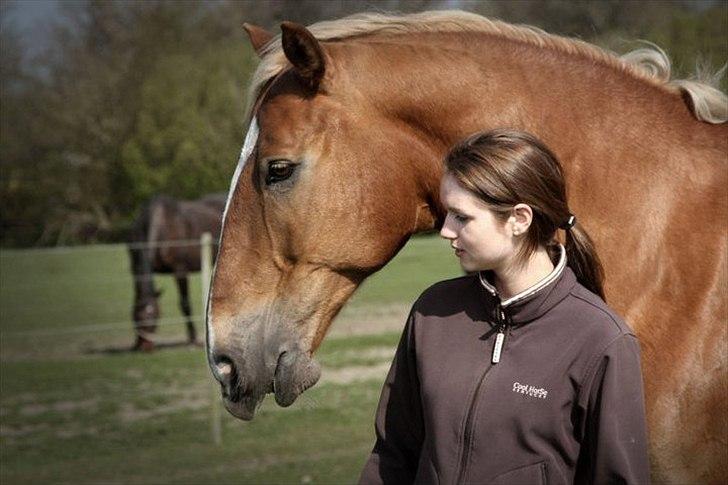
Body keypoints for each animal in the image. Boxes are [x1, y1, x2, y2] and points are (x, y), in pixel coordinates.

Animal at [128, 195, 223, 350]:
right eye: (137, 316)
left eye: (154, 314)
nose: (146, 347)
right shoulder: (136, 269)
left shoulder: (180, 270)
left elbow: (185, 304)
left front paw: (193, 339)